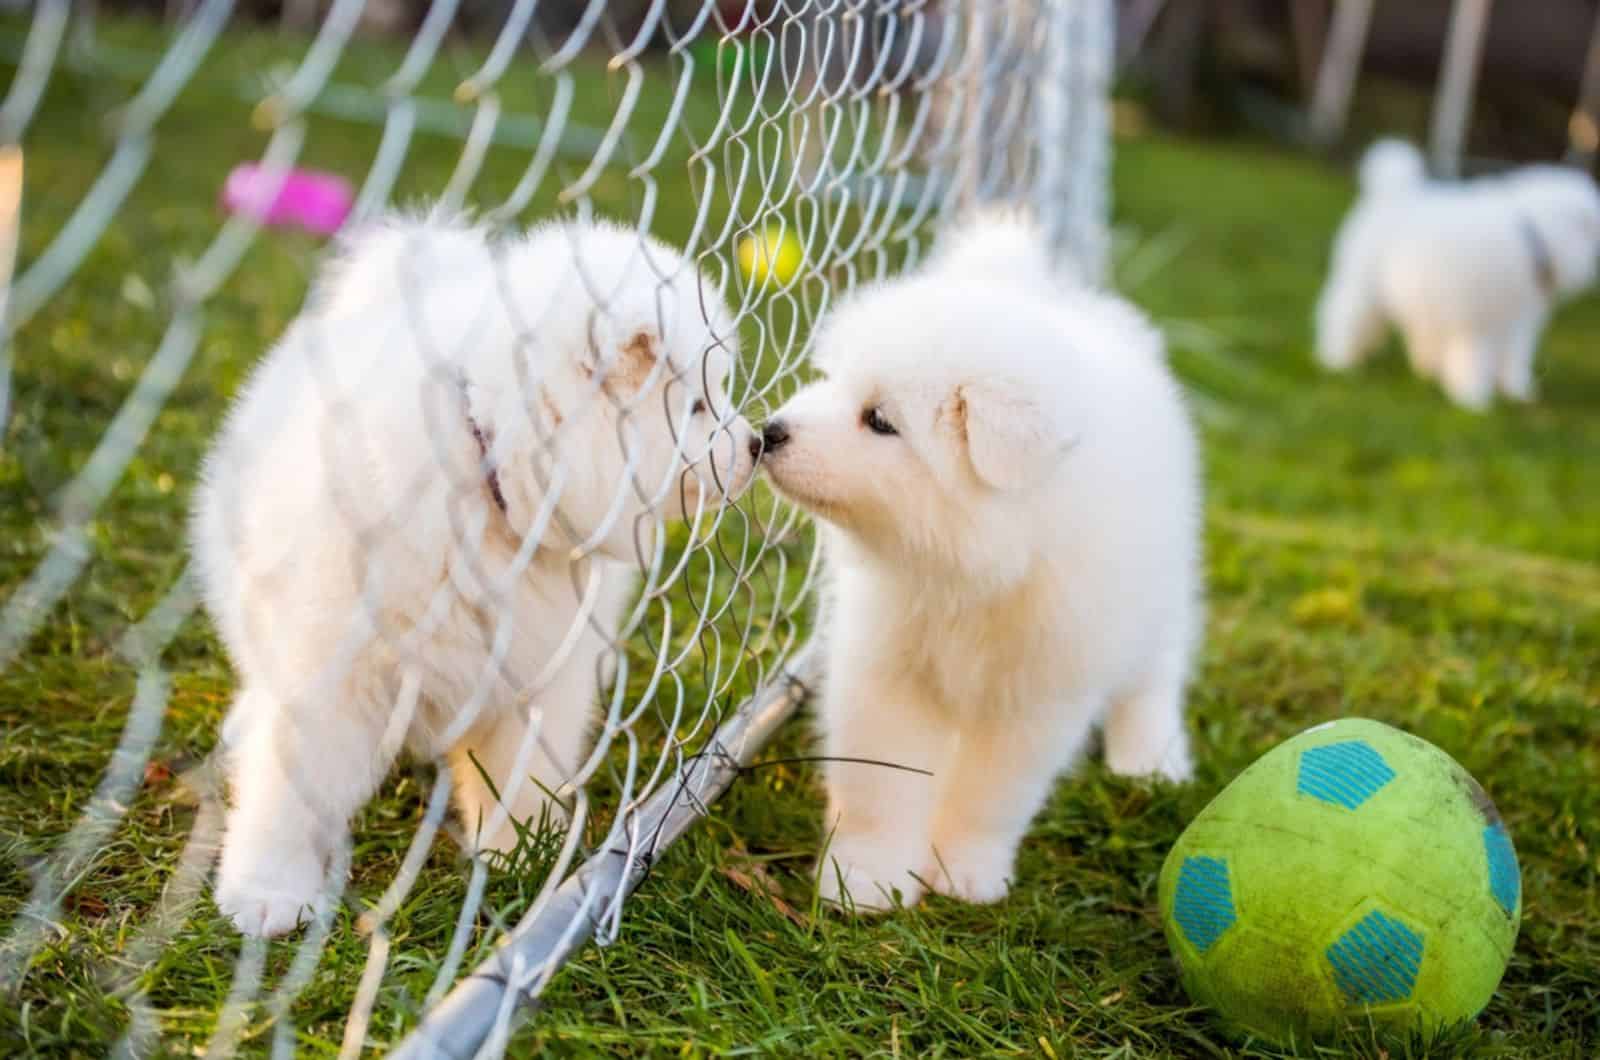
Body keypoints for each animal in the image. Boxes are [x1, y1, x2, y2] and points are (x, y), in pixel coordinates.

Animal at [192, 216, 755, 941]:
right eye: (698, 407)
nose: (757, 444)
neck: (493, 492)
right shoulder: (335, 672)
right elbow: (294, 788)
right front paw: (269, 891)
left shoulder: (539, 670)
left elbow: (521, 773)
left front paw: (521, 857)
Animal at [761, 214, 1203, 915]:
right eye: (831, 379)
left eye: (879, 420)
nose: (769, 431)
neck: (967, 571)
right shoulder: (886, 666)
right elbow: (882, 784)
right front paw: (865, 879)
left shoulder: (1037, 696)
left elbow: (991, 795)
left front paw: (964, 873)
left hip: (1156, 591)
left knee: (1153, 674)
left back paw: (1151, 759)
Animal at [1312, 137, 1600, 409]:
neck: (1529, 234)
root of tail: (1394, 192)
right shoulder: (1476, 319)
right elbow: (1474, 360)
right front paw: (1475, 400)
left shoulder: (1516, 321)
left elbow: (1514, 358)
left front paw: (1518, 393)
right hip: (1364, 286)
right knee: (1343, 316)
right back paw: (1339, 361)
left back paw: (1425, 368)